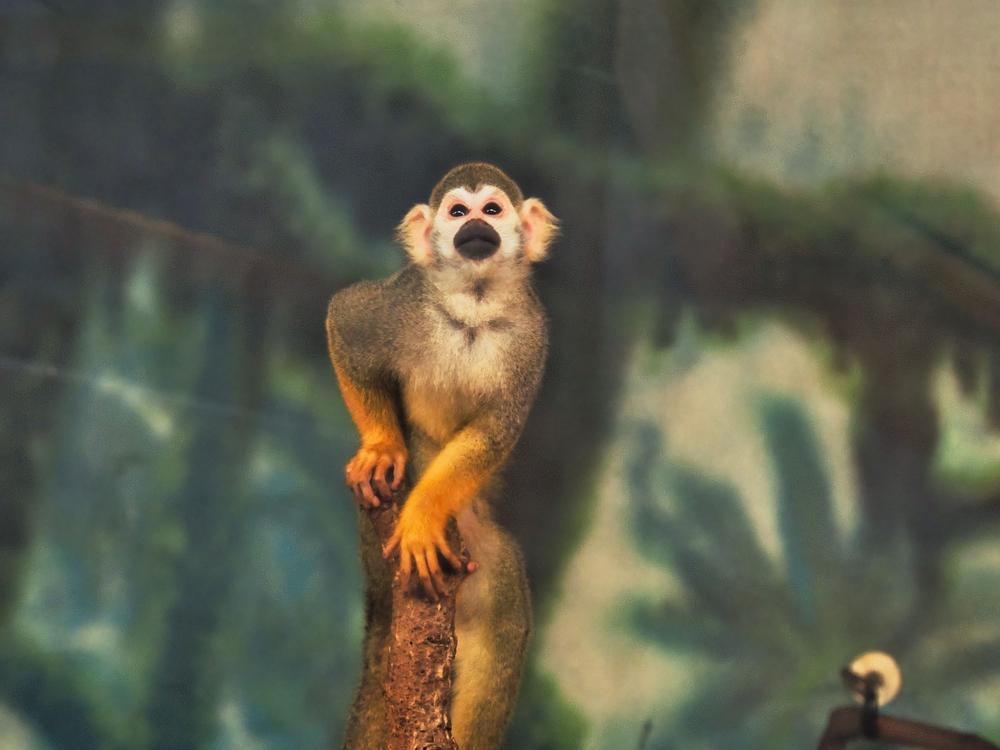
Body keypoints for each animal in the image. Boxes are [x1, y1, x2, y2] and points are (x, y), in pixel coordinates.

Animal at [325, 162, 558, 750]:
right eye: (457, 212)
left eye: (492, 210)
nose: (476, 228)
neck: (472, 307)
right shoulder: (403, 301)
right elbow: (344, 321)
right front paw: (381, 448)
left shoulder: (532, 336)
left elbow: (498, 430)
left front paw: (425, 514)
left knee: (502, 609)